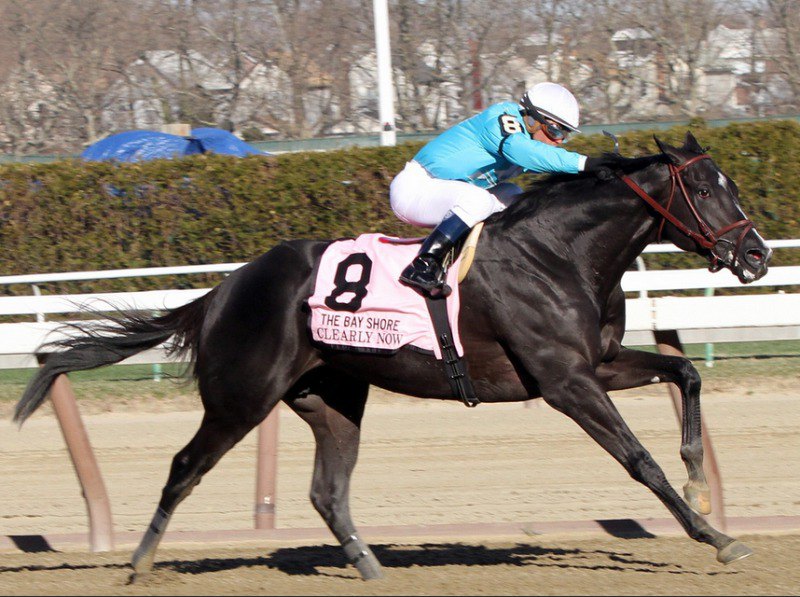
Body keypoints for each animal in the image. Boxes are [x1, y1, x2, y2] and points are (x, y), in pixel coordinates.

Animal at [15, 129, 772, 576]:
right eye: (705, 187)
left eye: (730, 185)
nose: (758, 255)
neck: (561, 252)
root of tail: (224, 289)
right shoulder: (565, 381)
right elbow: (639, 460)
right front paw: (716, 535)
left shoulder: (599, 363)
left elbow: (684, 370)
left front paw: (700, 475)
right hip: (241, 397)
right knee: (184, 466)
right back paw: (140, 561)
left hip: (332, 395)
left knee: (327, 490)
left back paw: (373, 568)